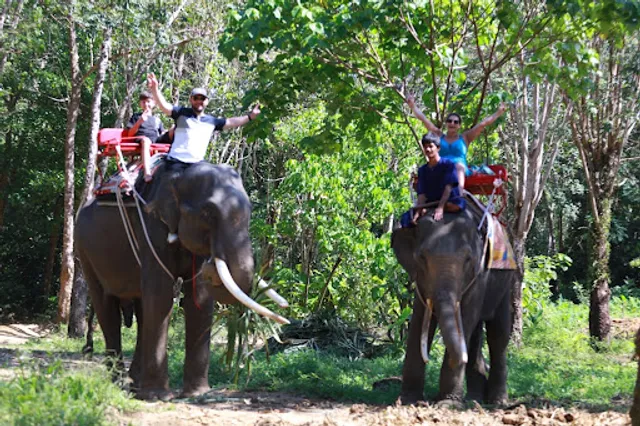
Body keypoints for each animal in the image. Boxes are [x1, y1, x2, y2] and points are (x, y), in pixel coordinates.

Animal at [75, 160, 288, 401]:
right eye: (207, 213)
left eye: (250, 211)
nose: (214, 264)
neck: (179, 174)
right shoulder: (151, 228)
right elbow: (160, 295)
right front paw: (158, 397)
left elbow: (199, 299)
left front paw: (197, 394)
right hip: (84, 250)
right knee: (106, 306)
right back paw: (120, 386)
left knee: (141, 309)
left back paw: (135, 385)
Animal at [391, 201, 514, 404]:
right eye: (421, 258)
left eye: (468, 259)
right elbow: (418, 321)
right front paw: (408, 400)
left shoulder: (480, 274)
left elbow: (465, 317)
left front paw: (447, 403)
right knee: (474, 336)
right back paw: (474, 397)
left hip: (507, 282)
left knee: (498, 334)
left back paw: (497, 401)